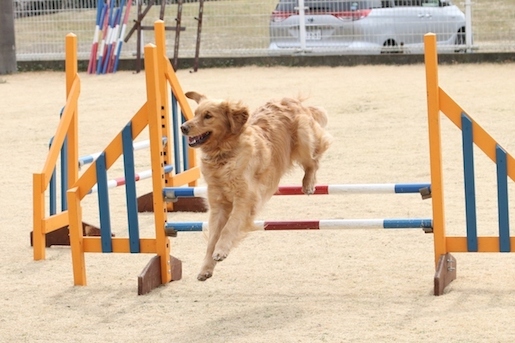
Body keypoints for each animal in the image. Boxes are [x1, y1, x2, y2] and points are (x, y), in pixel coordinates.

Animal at [182, 91, 334, 282]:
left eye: (208, 116)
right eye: (195, 114)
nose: (182, 127)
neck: (224, 155)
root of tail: (292, 100)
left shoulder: (245, 199)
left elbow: (229, 227)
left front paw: (221, 250)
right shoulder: (218, 205)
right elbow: (212, 240)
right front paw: (206, 268)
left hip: (303, 134)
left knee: (313, 161)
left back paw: (308, 183)